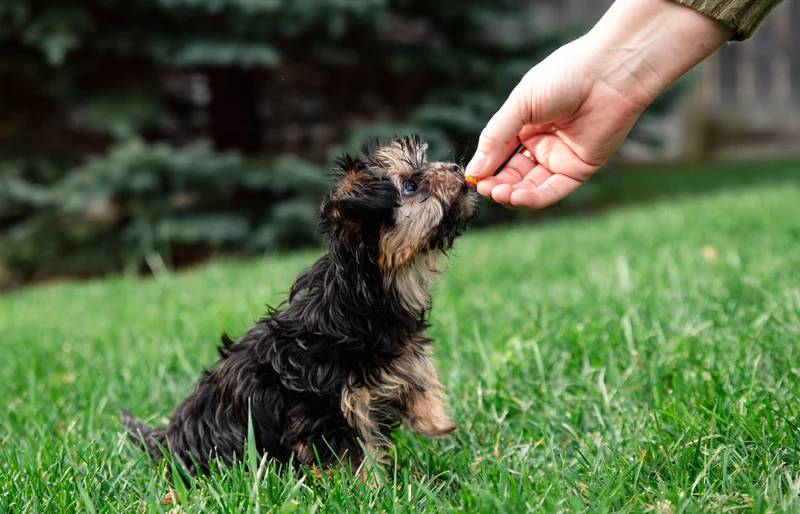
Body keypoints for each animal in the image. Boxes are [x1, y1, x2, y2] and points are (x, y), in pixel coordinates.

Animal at [122, 135, 478, 476]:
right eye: (410, 186)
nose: (456, 168)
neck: (360, 297)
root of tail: (167, 440)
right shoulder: (325, 408)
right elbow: (353, 455)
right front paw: (369, 488)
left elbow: (417, 372)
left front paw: (433, 419)